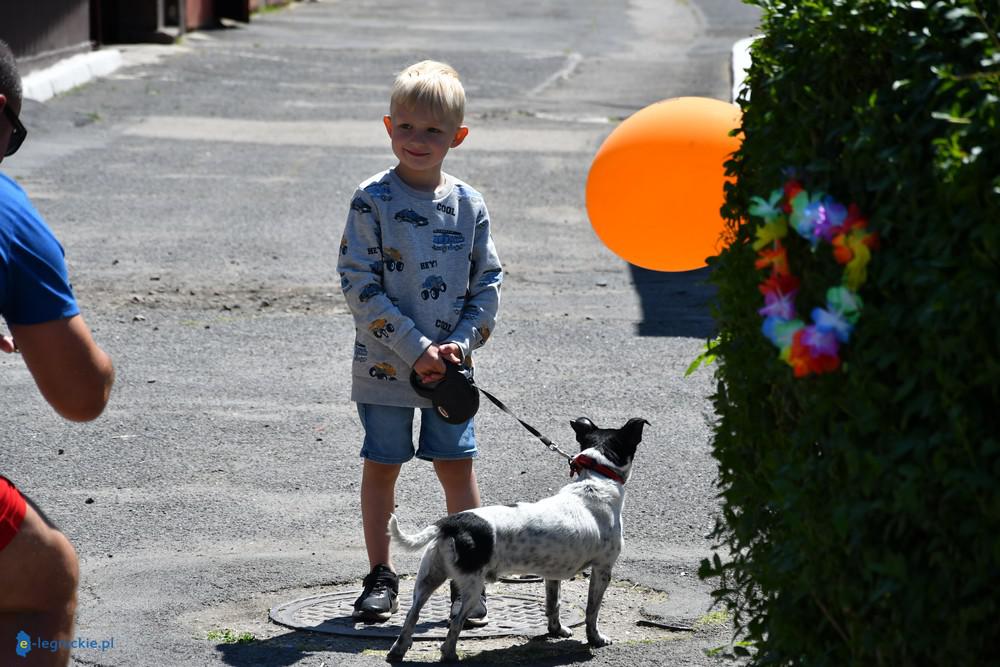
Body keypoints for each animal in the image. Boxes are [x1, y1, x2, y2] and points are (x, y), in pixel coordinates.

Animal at [382, 418, 648, 664]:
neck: (595, 480)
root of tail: (451, 522)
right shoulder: (603, 569)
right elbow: (592, 610)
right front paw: (595, 639)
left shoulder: (552, 574)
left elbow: (553, 605)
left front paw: (556, 631)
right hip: (472, 588)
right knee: (455, 624)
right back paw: (449, 654)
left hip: (427, 579)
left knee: (411, 615)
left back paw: (397, 651)